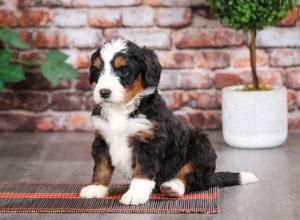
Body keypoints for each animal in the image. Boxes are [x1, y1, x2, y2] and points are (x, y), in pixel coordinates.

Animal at [79, 38, 258, 205]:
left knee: (190, 176)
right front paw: (96, 188)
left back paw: (173, 186)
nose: (104, 92)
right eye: (97, 71)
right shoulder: (101, 139)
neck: (121, 109)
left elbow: (142, 170)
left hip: (201, 146)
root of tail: (211, 176)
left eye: (123, 70)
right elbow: (101, 167)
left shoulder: (150, 141)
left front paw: (135, 194)